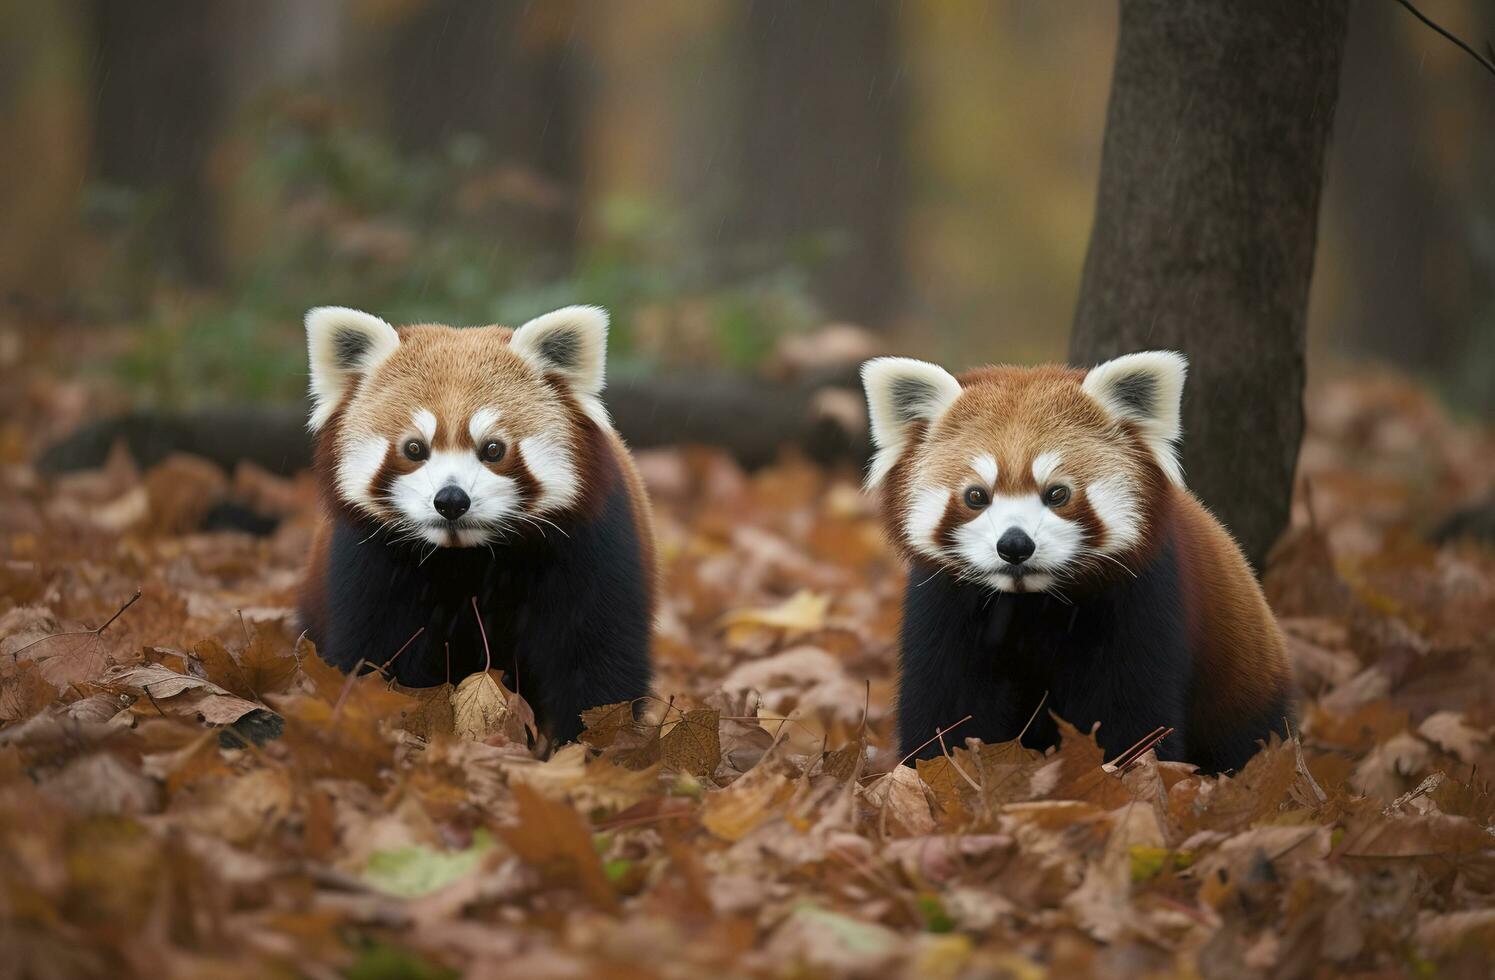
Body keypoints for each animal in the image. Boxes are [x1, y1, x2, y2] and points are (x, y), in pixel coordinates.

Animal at [297, 306, 654, 743]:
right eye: (414, 448)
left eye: (493, 449)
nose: (451, 500)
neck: (469, 560)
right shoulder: (367, 561)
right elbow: (372, 653)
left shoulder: (593, 550)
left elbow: (597, 663)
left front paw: (590, 745)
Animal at [867, 352, 1297, 770]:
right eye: (976, 496)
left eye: (1057, 493)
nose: (1015, 545)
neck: (1031, 604)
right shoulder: (944, 607)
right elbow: (948, 705)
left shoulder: (1142, 603)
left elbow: (1130, 713)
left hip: (1243, 685)